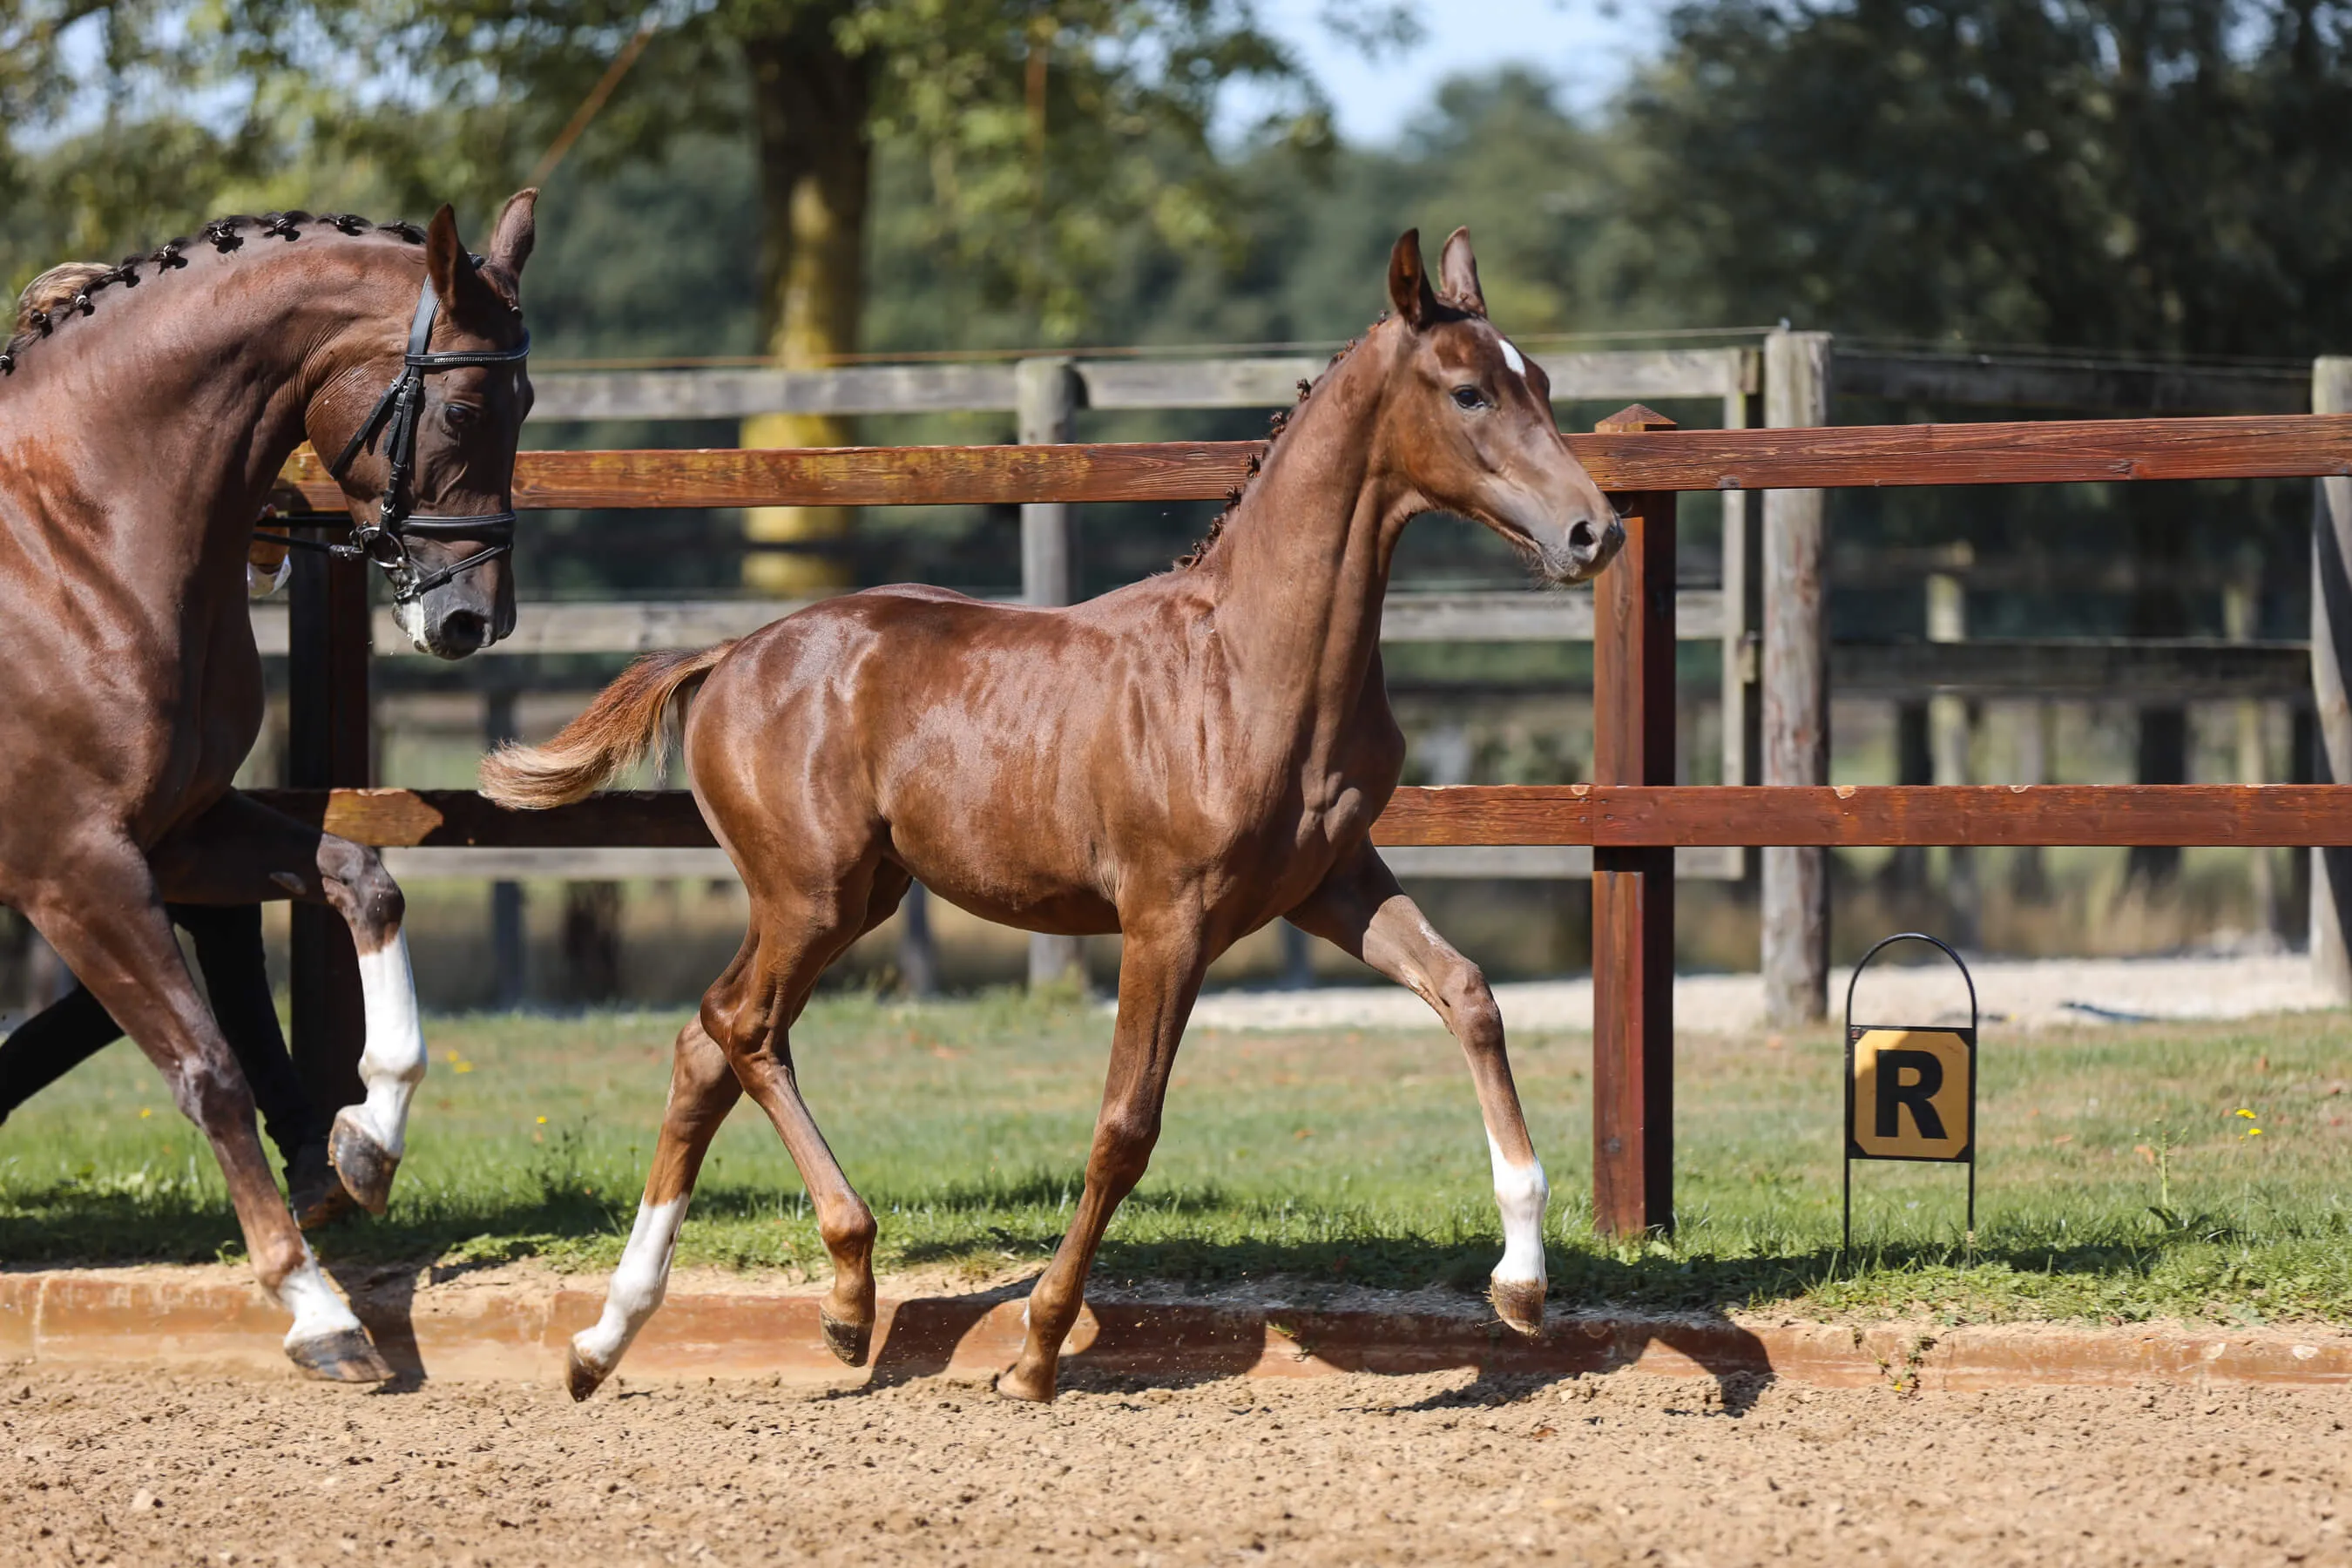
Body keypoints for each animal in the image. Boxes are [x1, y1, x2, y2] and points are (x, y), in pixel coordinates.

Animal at [0, 193, 539, 1382]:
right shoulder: (72, 866)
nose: (471, 620)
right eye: (467, 407)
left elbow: (363, 878)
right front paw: (315, 1306)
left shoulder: (179, 835)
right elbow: (208, 1069)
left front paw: (366, 1141)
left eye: (524, 403)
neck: (76, 542)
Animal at [484, 228, 1623, 1404]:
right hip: (812, 893)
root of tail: (732, 654)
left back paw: (608, 1338)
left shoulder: (1332, 882)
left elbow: (1470, 995)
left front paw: (1523, 1284)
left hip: (855, 897)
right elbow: (1127, 1125)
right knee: (738, 1026)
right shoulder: (1169, 917)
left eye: (1541, 382)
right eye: (1469, 391)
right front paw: (1035, 1347)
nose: (1595, 530)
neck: (1255, 663)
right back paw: (843, 1296)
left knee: (707, 1044)